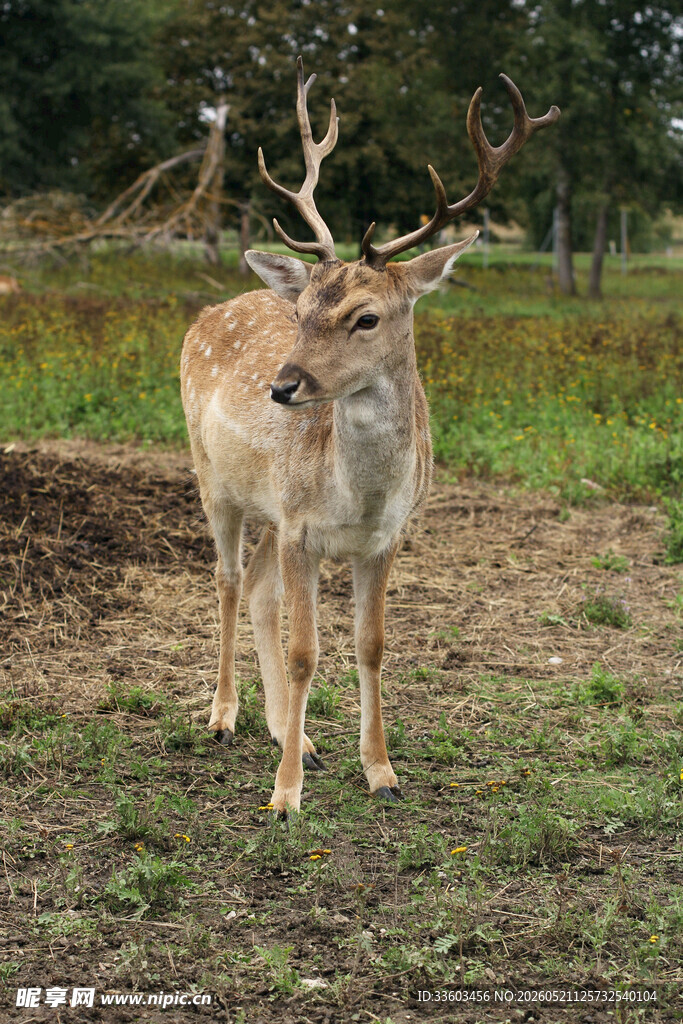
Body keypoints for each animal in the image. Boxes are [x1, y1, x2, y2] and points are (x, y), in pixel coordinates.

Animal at [180, 58, 559, 815]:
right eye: (300, 310)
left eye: (366, 316)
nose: (283, 386)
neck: (357, 495)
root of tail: (207, 311)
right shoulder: (301, 527)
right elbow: (307, 653)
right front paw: (284, 798)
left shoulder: (383, 537)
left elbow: (371, 645)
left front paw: (380, 771)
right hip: (213, 478)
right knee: (229, 580)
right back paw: (223, 717)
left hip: (268, 509)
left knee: (259, 591)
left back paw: (289, 734)